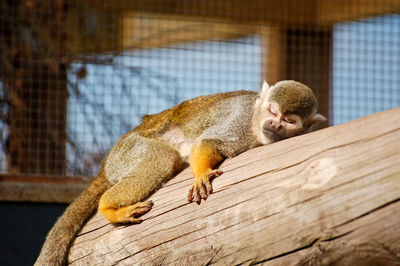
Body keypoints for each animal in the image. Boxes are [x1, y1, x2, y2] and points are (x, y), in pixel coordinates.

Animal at [36, 80, 326, 264]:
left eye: (288, 121)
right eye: (272, 111)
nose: (273, 125)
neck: (256, 128)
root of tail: (106, 165)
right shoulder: (240, 123)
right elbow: (207, 141)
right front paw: (202, 174)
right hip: (128, 151)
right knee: (163, 158)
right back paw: (109, 207)